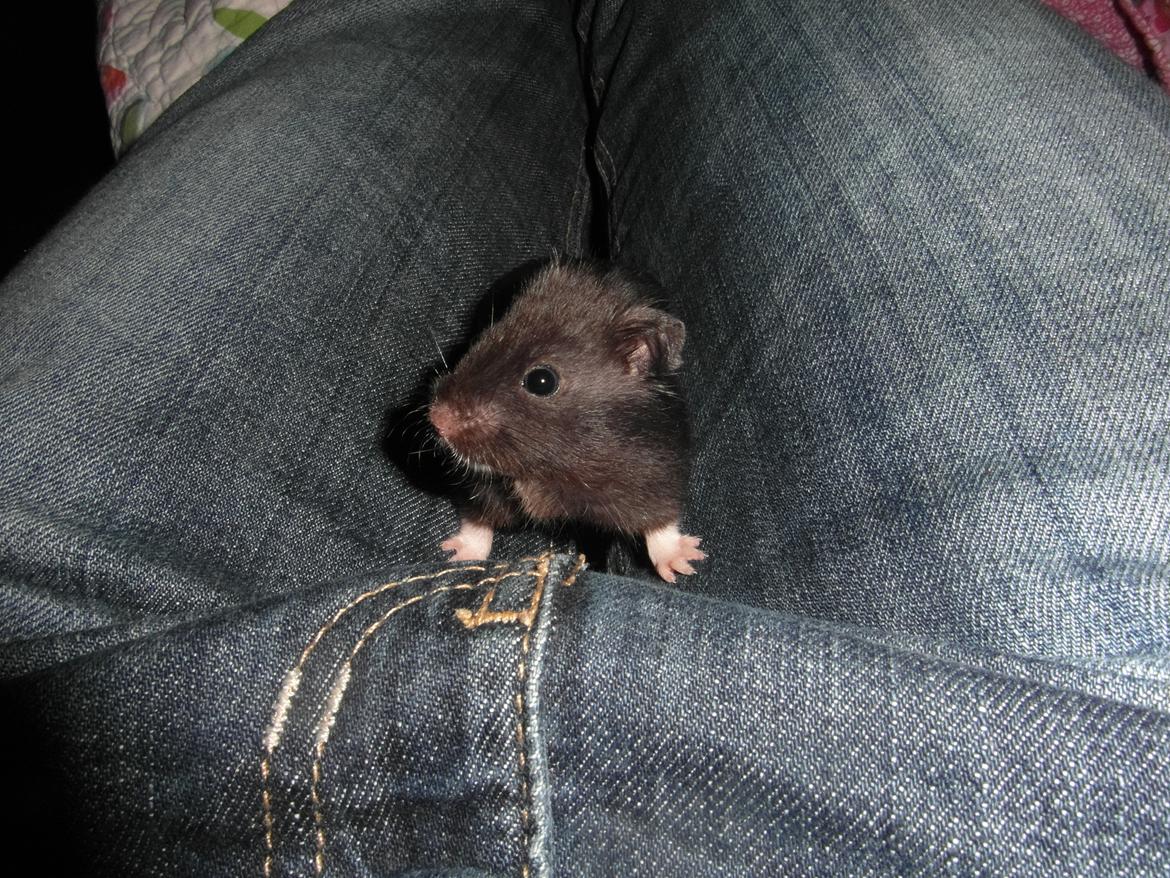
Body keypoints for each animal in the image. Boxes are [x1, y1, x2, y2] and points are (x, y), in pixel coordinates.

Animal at [427, 258, 705, 582]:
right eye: (485, 337)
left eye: (542, 381)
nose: (437, 420)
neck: (551, 466)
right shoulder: (482, 485)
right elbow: (478, 519)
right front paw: (455, 556)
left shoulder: (655, 468)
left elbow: (660, 520)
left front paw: (686, 564)